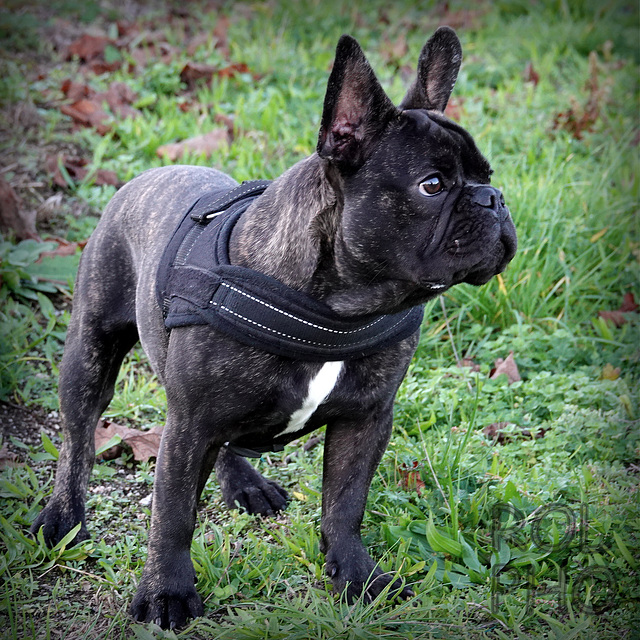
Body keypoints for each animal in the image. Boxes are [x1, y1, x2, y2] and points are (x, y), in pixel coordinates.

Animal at [32, 27, 516, 628]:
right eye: (433, 185)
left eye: (486, 176)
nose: (494, 199)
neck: (338, 309)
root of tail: (147, 175)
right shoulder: (189, 423)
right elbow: (173, 514)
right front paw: (167, 593)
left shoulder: (366, 418)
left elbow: (345, 504)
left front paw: (357, 576)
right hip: (91, 349)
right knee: (78, 435)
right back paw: (62, 518)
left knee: (222, 444)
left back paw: (244, 483)